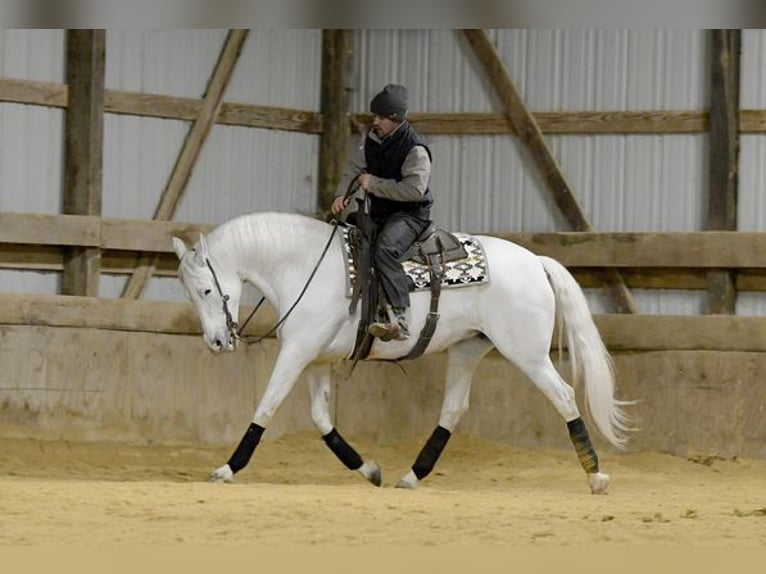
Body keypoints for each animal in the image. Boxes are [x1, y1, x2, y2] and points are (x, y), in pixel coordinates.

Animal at [174, 212, 632, 496]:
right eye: (191, 294)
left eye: (207, 290)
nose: (217, 342)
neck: (303, 266)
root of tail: (536, 261)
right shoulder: (317, 358)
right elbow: (322, 420)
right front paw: (369, 469)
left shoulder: (297, 352)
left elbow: (265, 407)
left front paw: (227, 469)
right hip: (468, 348)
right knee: (452, 410)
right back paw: (411, 476)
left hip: (527, 353)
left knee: (563, 396)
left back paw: (596, 476)